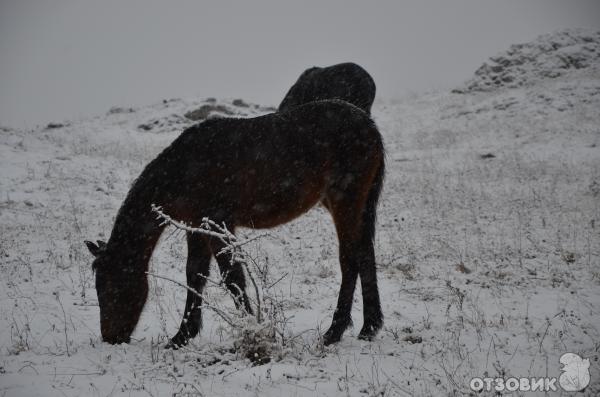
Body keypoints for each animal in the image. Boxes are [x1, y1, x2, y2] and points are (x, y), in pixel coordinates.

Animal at [84, 99, 384, 346]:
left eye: (111, 286)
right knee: (365, 254)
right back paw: (369, 327)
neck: (185, 169)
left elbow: (232, 276)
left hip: (346, 200)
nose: (110, 337)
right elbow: (195, 274)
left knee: (350, 259)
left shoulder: (219, 224)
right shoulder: (197, 227)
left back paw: (334, 331)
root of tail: (368, 124)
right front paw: (182, 336)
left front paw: (252, 328)